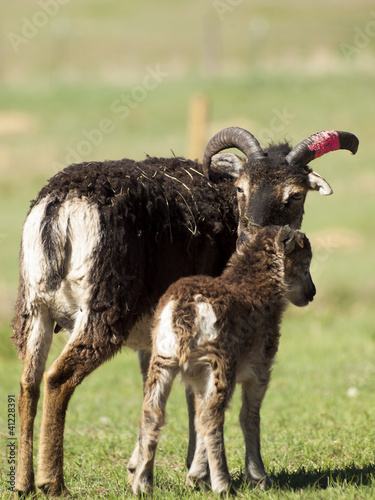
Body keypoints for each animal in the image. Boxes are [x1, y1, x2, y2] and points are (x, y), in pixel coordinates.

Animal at [11, 127, 358, 494]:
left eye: (295, 195)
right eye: (241, 188)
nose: (252, 237)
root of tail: (60, 206)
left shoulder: (158, 340)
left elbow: (160, 394)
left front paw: (141, 470)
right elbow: (200, 401)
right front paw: (200, 475)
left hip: (34, 309)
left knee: (28, 383)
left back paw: (23, 483)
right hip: (102, 311)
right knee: (57, 379)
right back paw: (53, 483)